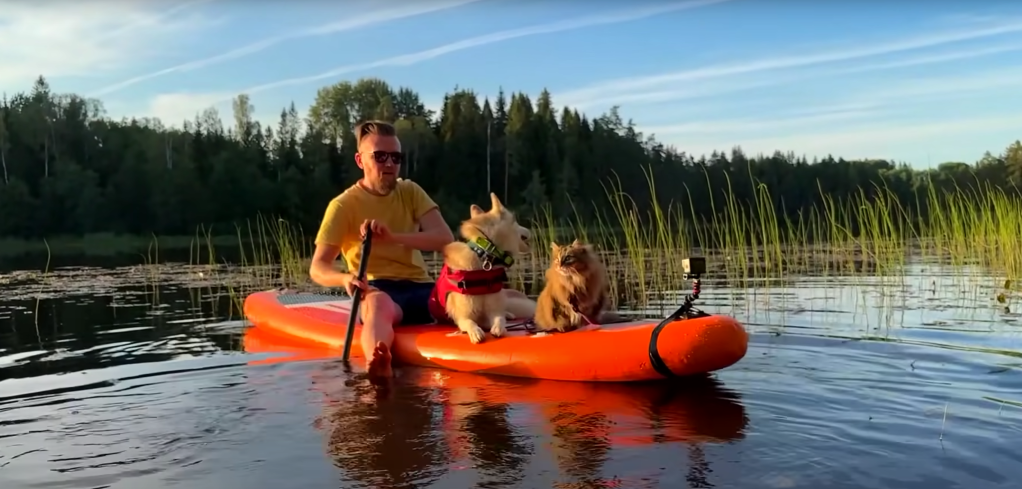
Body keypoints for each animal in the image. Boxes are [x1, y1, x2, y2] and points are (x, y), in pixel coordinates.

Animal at [425, 193, 535, 341]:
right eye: (515, 221)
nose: (529, 230)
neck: (483, 255)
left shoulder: (492, 311)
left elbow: (499, 318)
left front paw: (499, 327)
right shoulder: (463, 317)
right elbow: (469, 322)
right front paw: (475, 331)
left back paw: (508, 314)